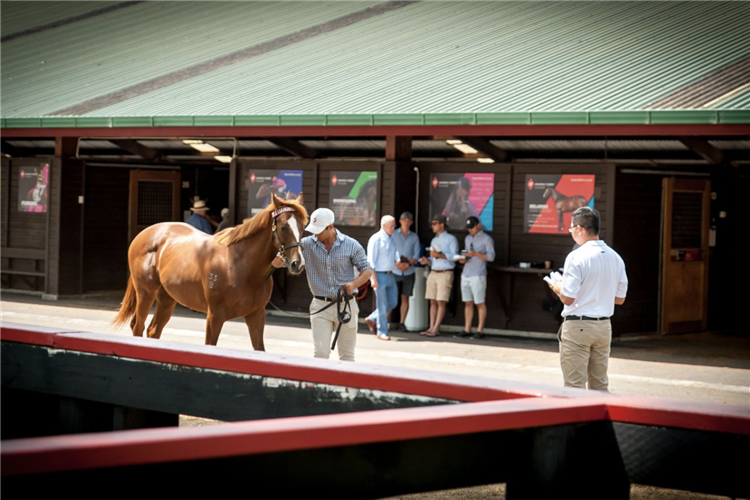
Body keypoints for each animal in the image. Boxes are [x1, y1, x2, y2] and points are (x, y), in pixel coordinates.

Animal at [111, 193, 308, 350]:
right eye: (283, 227)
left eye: (302, 227)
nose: (297, 264)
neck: (240, 265)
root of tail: (143, 234)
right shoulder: (214, 316)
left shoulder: (256, 316)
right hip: (146, 293)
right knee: (138, 326)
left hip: (167, 298)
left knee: (153, 330)